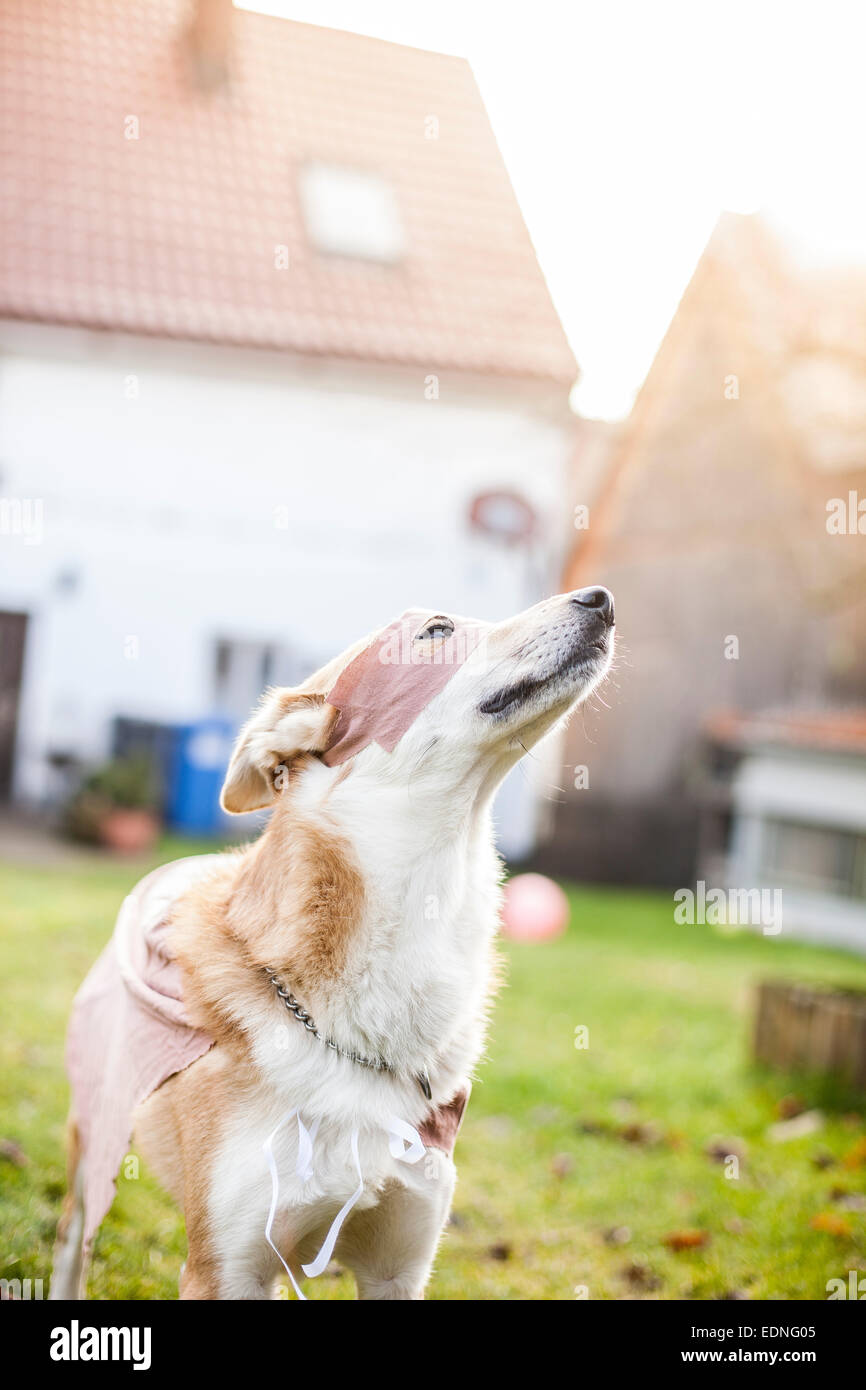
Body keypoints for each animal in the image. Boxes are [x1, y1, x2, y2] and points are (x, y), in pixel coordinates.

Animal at [50, 589, 617, 1301]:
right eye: (437, 631)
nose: (601, 599)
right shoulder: (226, 1270)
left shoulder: (398, 1264)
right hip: (93, 1132)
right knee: (74, 1232)